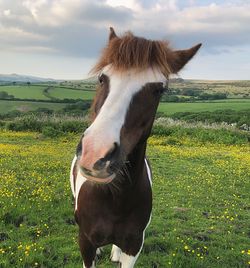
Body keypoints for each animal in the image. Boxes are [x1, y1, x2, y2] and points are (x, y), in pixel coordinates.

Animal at [70, 27, 201, 268]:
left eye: (159, 90)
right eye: (102, 78)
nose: (96, 154)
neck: (114, 197)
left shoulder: (134, 246)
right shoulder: (85, 242)